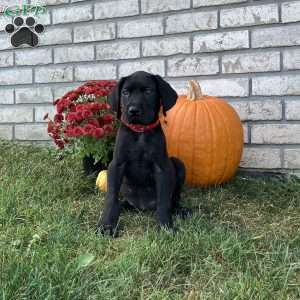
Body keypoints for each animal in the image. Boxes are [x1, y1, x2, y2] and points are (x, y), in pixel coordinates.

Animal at [97, 71, 189, 237]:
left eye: (148, 91)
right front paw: (107, 225)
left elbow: (163, 201)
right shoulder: (117, 165)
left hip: (179, 164)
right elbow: (111, 198)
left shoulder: (161, 168)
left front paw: (165, 226)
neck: (140, 132)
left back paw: (180, 210)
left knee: (173, 198)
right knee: (120, 203)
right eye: (125, 93)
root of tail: (142, 206)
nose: (133, 111)